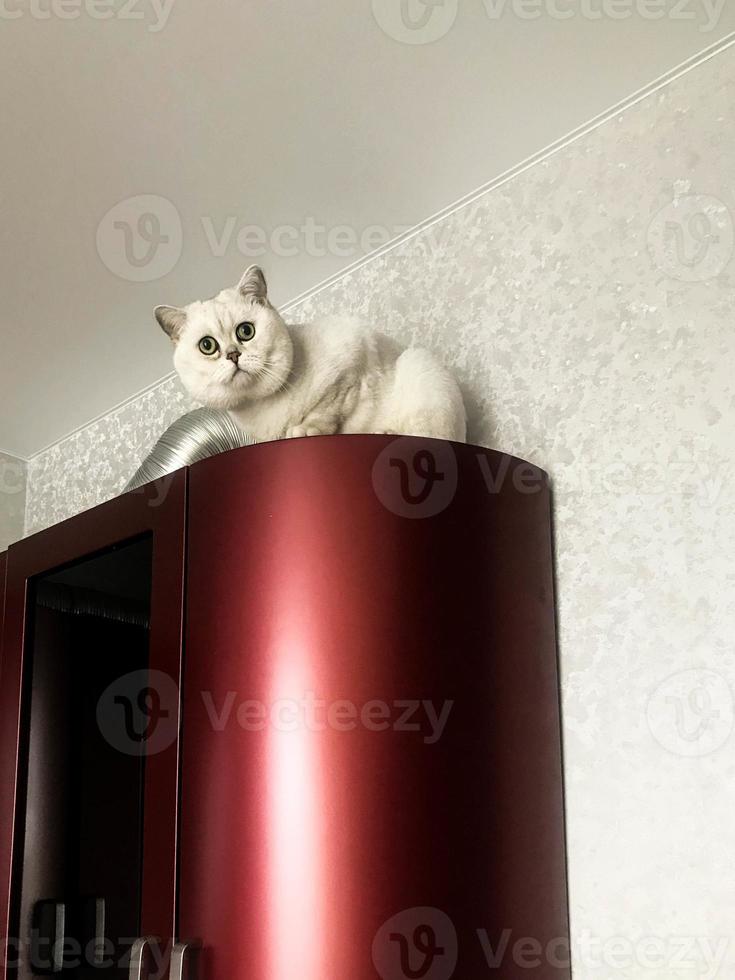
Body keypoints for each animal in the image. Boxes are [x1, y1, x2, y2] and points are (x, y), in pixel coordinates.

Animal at [155, 264, 466, 440]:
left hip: (421, 370)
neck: (260, 409)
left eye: (246, 331)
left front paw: (305, 429)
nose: (233, 355)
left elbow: (327, 407)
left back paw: (385, 432)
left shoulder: (351, 360)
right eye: (207, 346)